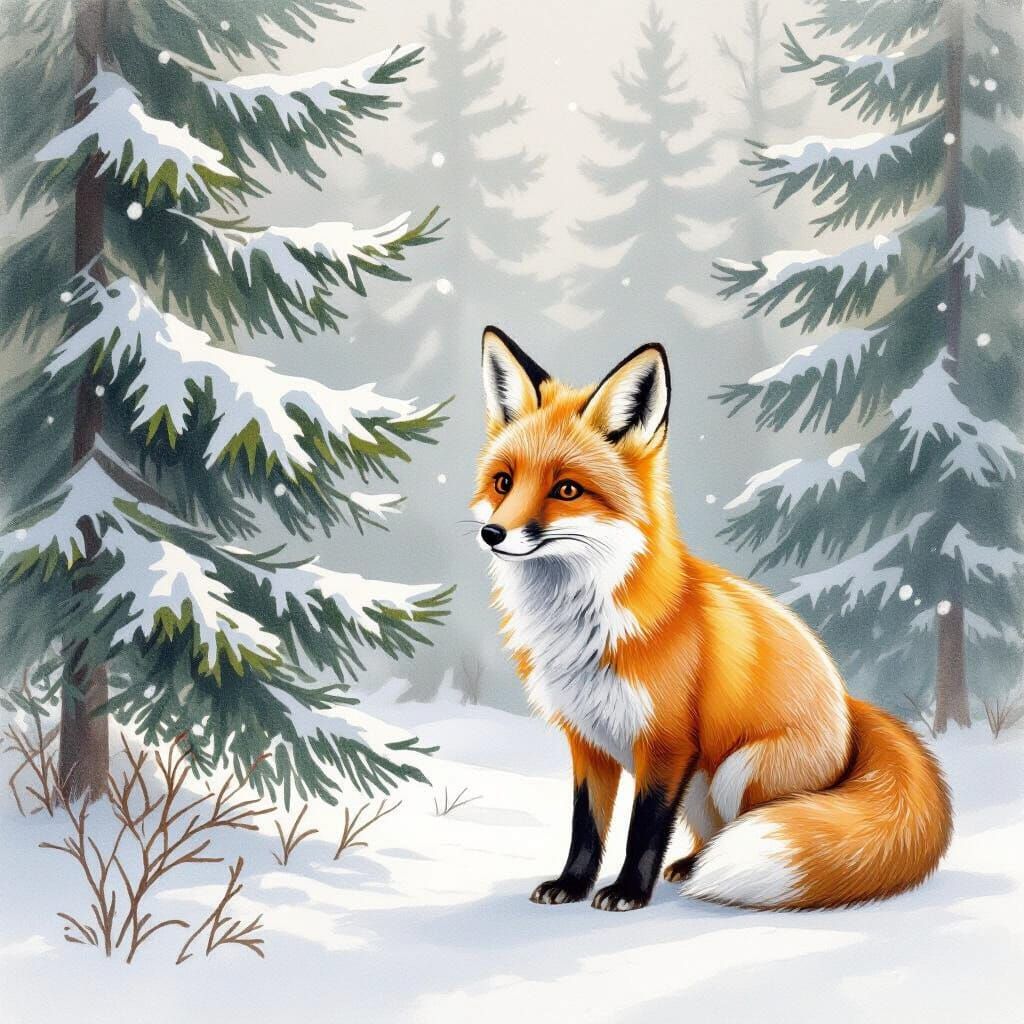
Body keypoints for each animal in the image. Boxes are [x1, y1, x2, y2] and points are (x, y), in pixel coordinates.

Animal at [472, 326, 953, 912]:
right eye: (503, 482)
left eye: (567, 489)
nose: (492, 534)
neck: (584, 627)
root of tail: (849, 706)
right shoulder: (586, 740)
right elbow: (586, 826)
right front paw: (571, 884)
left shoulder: (668, 743)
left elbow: (643, 828)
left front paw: (627, 892)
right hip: (705, 786)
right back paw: (691, 866)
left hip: (734, 772)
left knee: (740, 828)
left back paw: (711, 876)